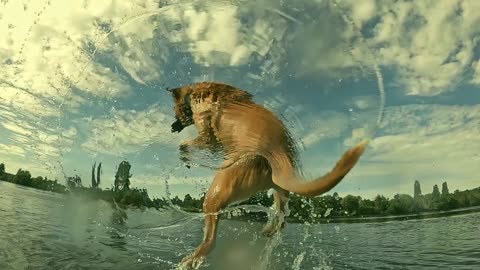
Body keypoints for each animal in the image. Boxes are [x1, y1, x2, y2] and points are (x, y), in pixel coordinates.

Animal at [169, 80, 368, 268]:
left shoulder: (207, 135)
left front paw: (185, 154)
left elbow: (187, 143)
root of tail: (278, 157)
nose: (172, 126)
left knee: (210, 240)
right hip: (279, 190)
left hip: (217, 191)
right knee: (282, 218)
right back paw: (269, 230)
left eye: (175, 110)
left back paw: (191, 259)